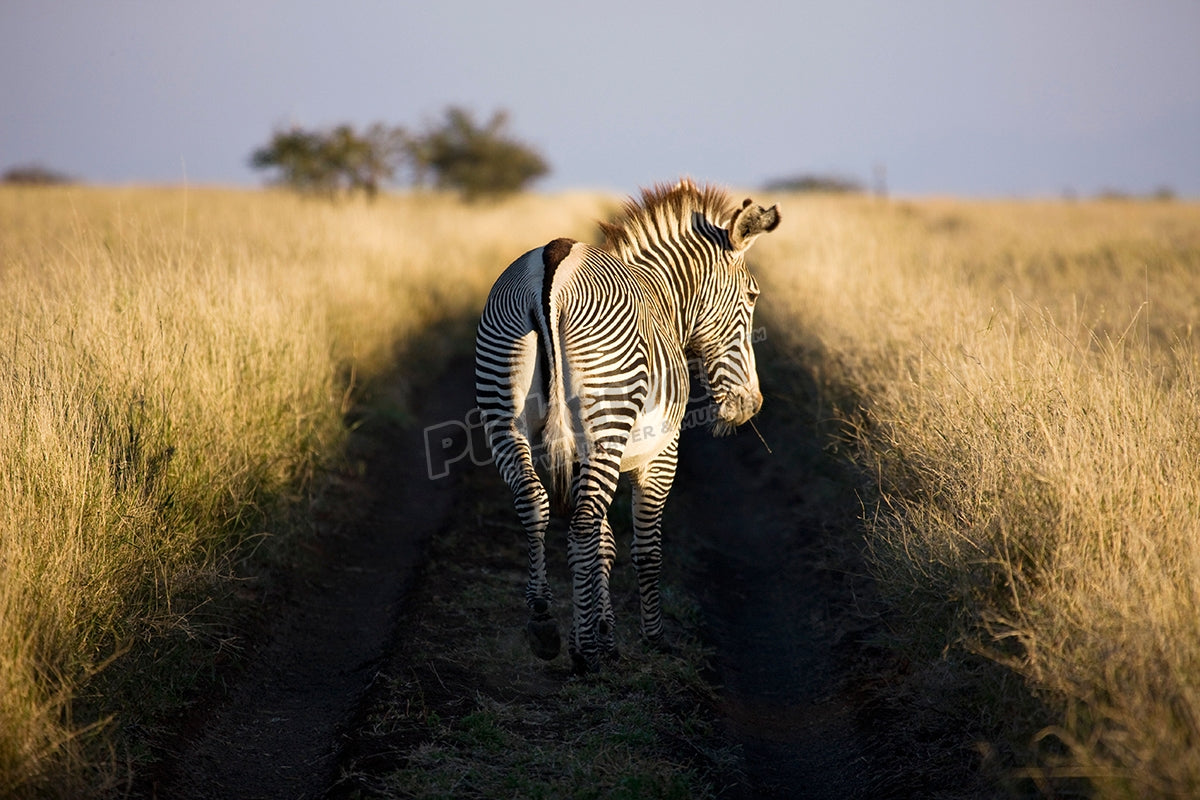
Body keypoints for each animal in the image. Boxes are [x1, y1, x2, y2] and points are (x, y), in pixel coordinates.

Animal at [474, 180, 780, 672]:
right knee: (581, 522)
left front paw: (604, 636)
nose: (750, 405)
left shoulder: (583, 457)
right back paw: (583, 656)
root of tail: (552, 267)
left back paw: (544, 625)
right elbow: (644, 548)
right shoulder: (660, 454)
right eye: (752, 296)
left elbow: (602, 545)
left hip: (503, 412)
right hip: (606, 420)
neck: (665, 299)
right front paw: (646, 638)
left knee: (535, 503)